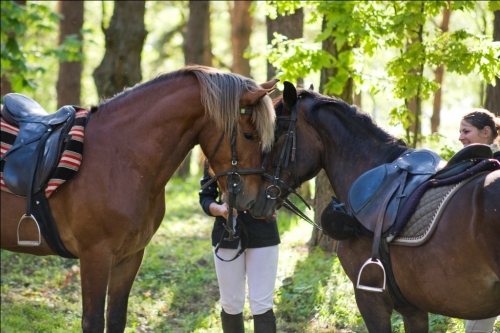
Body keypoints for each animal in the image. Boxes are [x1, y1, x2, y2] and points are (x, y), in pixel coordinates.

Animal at [0, 65, 278, 332]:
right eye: (249, 135)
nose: (253, 199)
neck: (120, 158)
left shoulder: (130, 257)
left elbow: (115, 318)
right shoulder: (95, 256)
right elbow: (93, 321)